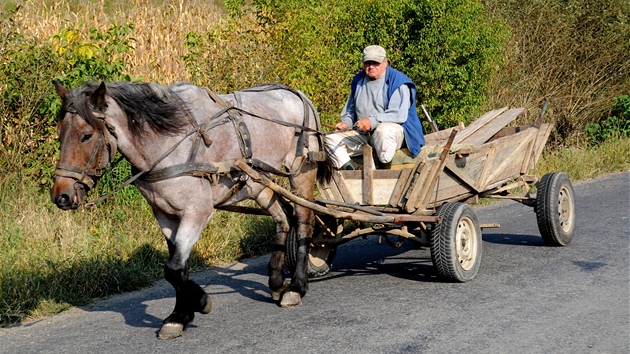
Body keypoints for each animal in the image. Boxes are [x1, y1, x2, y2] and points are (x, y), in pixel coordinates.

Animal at [49, 79, 336, 338]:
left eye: (86, 136)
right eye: (60, 134)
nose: (61, 196)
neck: (169, 144)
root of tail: (295, 94)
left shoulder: (197, 212)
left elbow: (173, 268)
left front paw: (199, 302)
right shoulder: (165, 215)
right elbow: (179, 268)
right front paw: (180, 316)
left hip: (301, 173)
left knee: (304, 222)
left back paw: (296, 288)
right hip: (257, 181)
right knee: (283, 217)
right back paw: (276, 282)